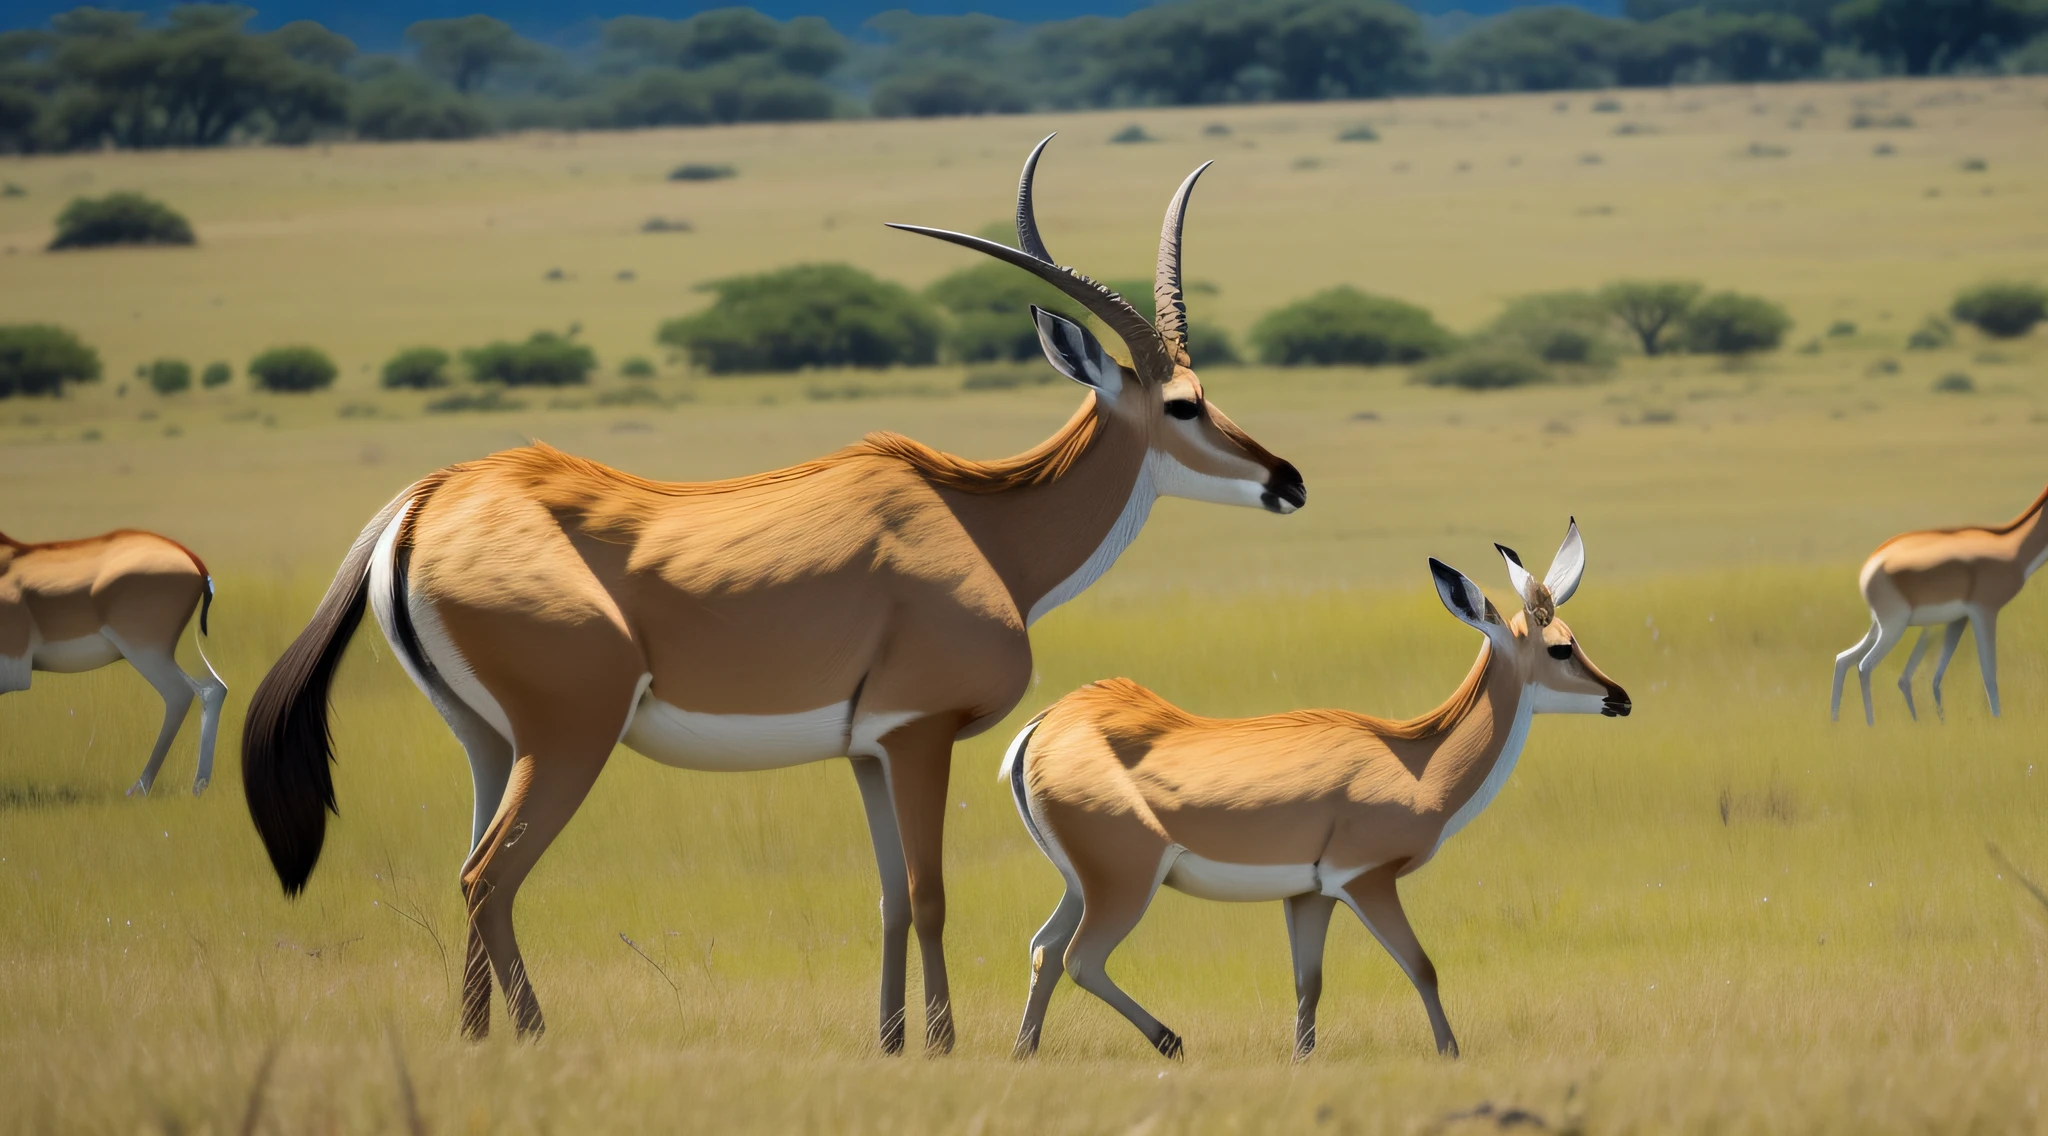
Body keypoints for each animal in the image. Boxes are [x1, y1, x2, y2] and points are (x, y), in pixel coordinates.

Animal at [0, 528, 228, 794]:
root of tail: (192, 561)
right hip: (180, 648)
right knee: (213, 688)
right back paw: (198, 786)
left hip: (145, 651)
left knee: (179, 694)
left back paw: (139, 788)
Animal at [235, 138, 1294, 1056]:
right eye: (1183, 404)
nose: (1288, 481)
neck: (981, 530)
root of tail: (427, 499)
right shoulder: (921, 734)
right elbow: (932, 889)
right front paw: (945, 1045)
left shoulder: (868, 750)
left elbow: (889, 894)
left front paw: (891, 1042)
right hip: (571, 736)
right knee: (491, 876)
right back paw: (536, 1037)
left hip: (488, 741)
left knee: (468, 870)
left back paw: (475, 1038)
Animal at [999, 519, 1622, 1064]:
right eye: (1560, 647)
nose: (1621, 698)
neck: (1417, 763)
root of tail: (1044, 726)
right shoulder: (1366, 878)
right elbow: (1422, 966)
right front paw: (1451, 1053)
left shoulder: (1310, 894)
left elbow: (1308, 982)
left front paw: (1302, 1058)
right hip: (1124, 884)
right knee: (1081, 957)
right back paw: (1170, 1041)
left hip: (1080, 885)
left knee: (1044, 949)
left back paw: (1024, 1052)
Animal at [1835, 485, 2039, 724]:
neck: (2013, 549)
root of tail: (1870, 566)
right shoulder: (1984, 612)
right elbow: (1988, 674)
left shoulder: (1959, 620)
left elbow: (1936, 677)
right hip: (1894, 628)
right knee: (1866, 666)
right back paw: (1872, 725)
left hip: (1881, 627)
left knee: (1844, 659)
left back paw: (1836, 723)